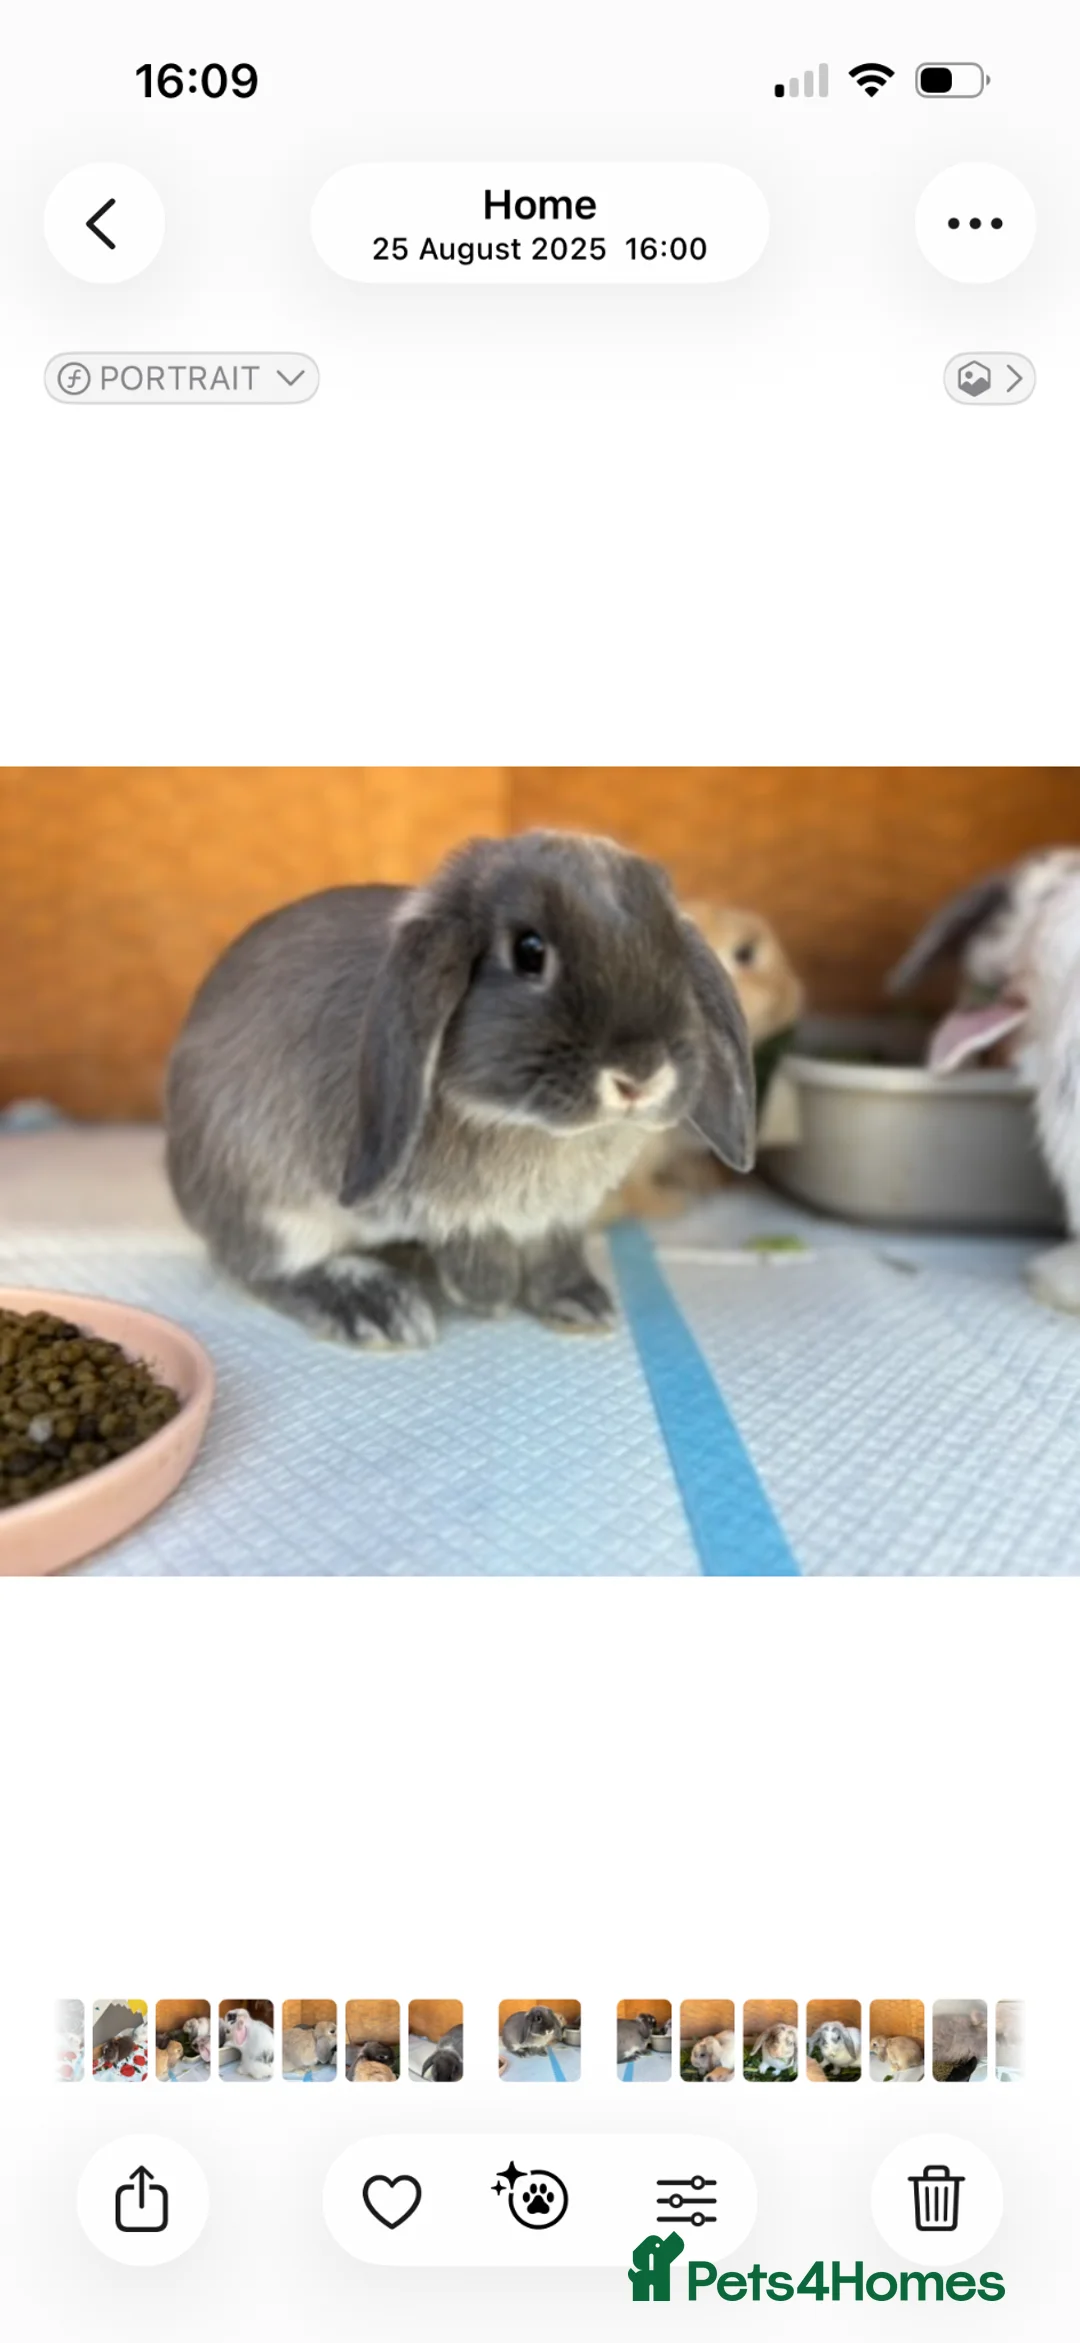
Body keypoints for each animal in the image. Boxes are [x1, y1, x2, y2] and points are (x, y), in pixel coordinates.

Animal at [164, 832, 755, 1349]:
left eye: (673, 950)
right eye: (529, 951)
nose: (641, 1073)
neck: (531, 1128)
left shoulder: (560, 1215)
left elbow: (556, 1254)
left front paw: (583, 1304)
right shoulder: (447, 1215)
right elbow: (472, 1248)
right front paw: (488, 1298)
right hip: (267, 1202)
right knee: (263, 1267)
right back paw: (375, 1306)